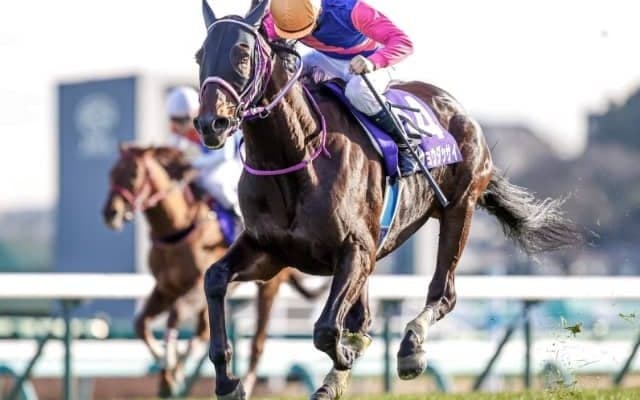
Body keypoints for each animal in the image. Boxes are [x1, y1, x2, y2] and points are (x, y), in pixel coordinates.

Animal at [102, 145, 326, 397]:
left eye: (133, 175)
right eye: (111, 174)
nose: (110, 213)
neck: (177, 229)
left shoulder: (196, 287)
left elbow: (175, 315)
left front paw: (171, 368)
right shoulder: (166, 287)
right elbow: (141, 324)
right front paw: (166, 368)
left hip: (269, 287)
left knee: (256, 344)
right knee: (201, 330)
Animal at [193, 2, 584, 399]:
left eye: (243, 54)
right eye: (199, 56)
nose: (211, 123)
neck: (296, 155)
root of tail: (456, 108)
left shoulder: (355, 249)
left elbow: (326, 330)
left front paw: (346, 356)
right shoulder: (269, 250)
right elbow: (214, 278)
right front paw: (228, 382)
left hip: (459, 207)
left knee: (442, 293)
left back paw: (410, 349)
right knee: (363, 318)